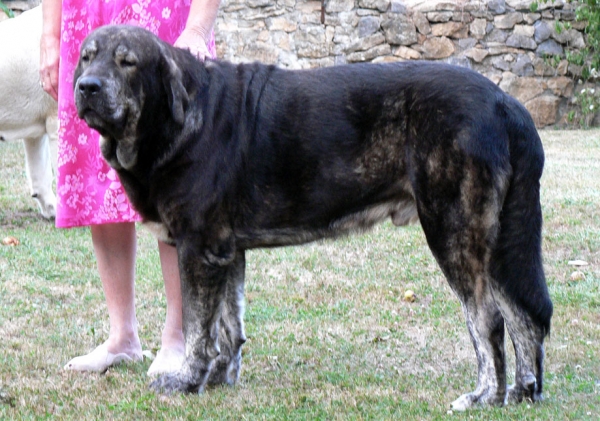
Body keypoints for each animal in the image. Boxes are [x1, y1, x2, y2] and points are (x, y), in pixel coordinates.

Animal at [74, 25, 552, 410]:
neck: (178, 119)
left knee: (488, 320)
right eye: (86, 56)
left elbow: (197, 328)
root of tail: (504, 100)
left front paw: (188, 380)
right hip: (496, 241)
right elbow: (228, 325)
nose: (86, 86)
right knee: (523, 315)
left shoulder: (199, 249)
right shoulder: (226, 251)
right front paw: (220, 379)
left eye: (128, 62)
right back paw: (522, 393)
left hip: (454, 230)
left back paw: (484, 396)